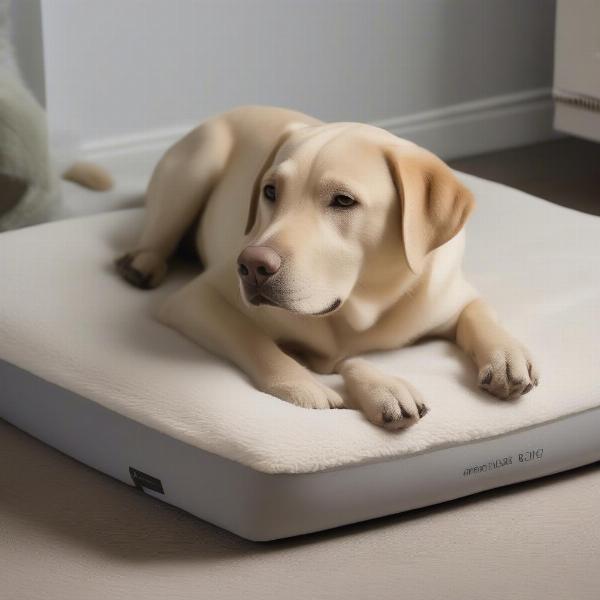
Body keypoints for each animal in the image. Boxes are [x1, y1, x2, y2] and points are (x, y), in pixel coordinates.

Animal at [113, 105, 540, 428]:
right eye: (270, 192)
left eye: (343, 201)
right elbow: (256, 340)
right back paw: (141, 264)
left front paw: (505, 356)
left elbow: (480, 315)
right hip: (197, 167)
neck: (368, 304)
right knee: (156, 235)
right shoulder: (196, 298)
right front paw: (309, 387)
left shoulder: (453, 295)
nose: (250, 265)